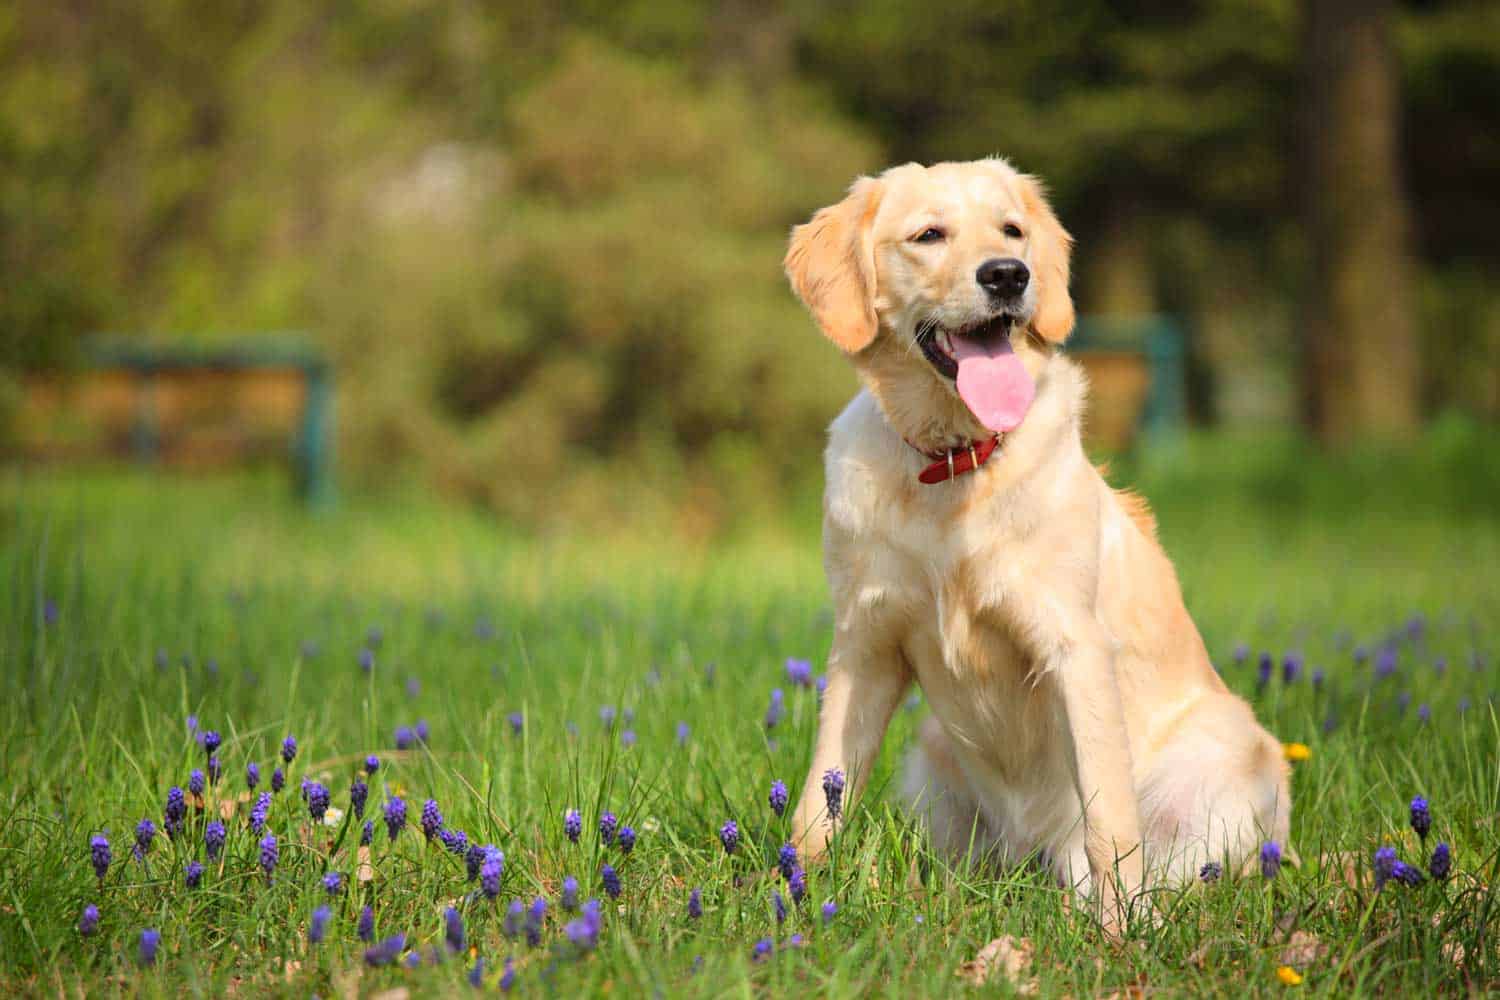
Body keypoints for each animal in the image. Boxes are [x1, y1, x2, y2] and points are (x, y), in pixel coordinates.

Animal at [786, 156, 1290, 929]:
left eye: (1012, 231)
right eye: (929, 235)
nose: (1007, 275)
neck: (954, 461)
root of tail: (1035, 856)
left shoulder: (1073, 646)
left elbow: (1111, 821)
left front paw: (1123, 933)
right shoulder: (865, 645)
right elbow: (819, 799)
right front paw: (791, 895)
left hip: (1232, 757)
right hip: (933, 759)